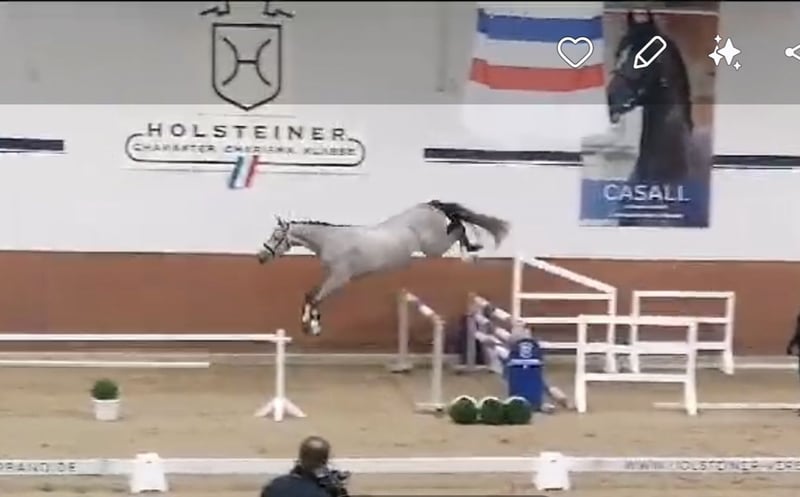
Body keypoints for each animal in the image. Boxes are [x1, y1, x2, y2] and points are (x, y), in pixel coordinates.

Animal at [256, 200, 510, 336]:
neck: (330, 240)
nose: (260, 257)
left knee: (458, 226)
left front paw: (313, 326)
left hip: (434, 247)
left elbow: (315, 298)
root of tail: (429, 205)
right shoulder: (330, 276)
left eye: (276, 236)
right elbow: (311, 295)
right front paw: (310, 324)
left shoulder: (339, 278)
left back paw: (471, 253)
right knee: (457, 223)